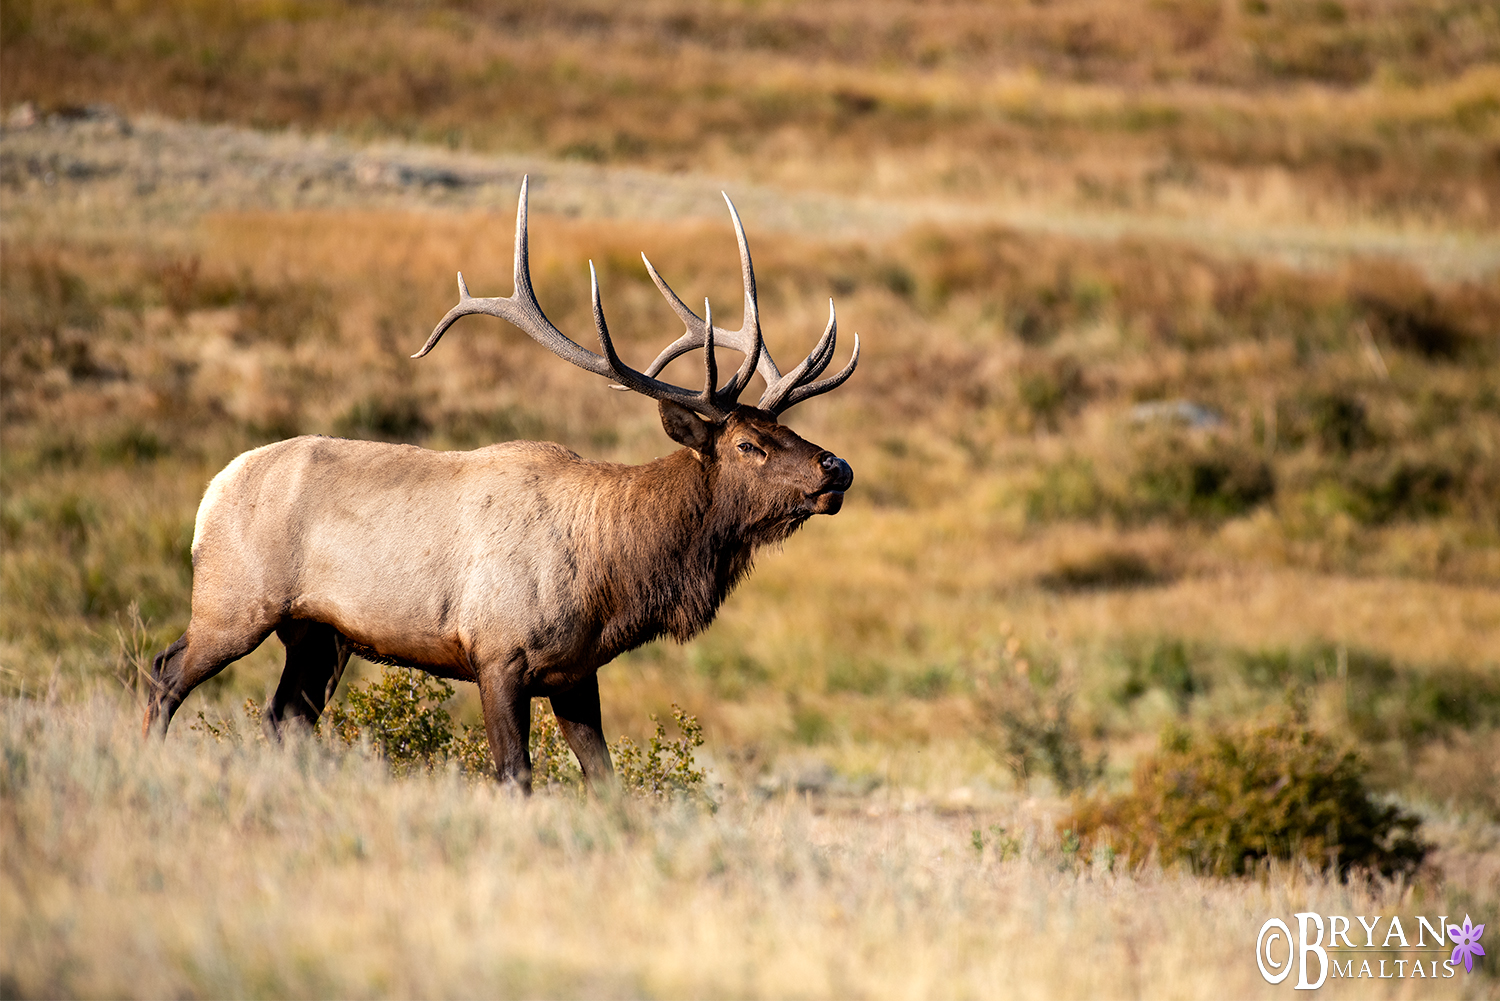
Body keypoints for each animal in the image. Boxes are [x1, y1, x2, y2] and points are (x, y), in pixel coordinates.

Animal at [149, 177, 870, 792]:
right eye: (748, 444)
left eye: (788, 429)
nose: (837, 468)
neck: (613, 578)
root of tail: (212, 490)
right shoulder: (498, 654)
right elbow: (515, 775)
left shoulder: (576, 671)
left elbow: (605, 780)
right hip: (234, 600)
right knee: (166, 673)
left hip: (318, 633)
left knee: (283, 717)